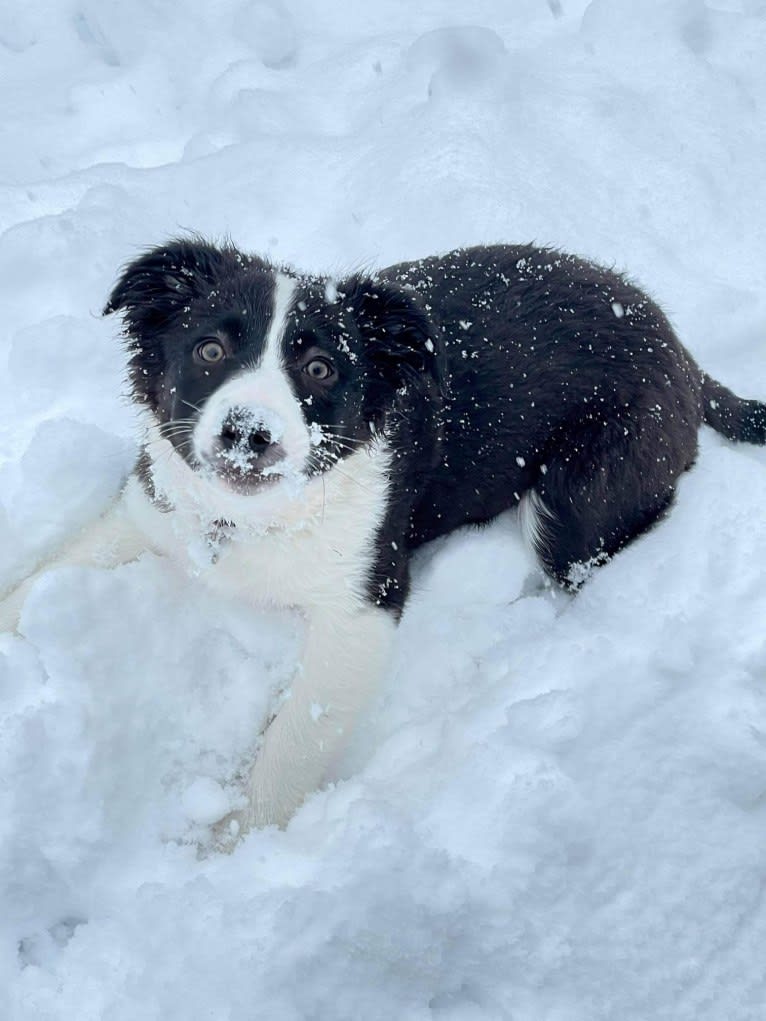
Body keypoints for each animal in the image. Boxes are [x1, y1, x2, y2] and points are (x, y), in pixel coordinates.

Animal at [1, 236, 766, 837]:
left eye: (319, 368)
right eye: (209, 348)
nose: (249, 433)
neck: (251, 521)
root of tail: (681, 350)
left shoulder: (362, 605)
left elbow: (293, 742)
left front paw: (229, 847)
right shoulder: (148, 512)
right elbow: (38, 582)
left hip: (579, 494)